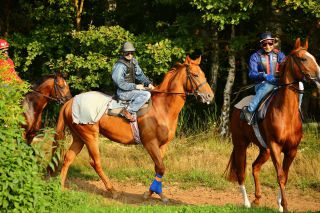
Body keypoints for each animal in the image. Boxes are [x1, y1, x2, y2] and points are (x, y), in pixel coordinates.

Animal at [52, 55, 212, 201]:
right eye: (195, 75)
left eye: (203, 74)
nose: (210, 96)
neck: (161, 108)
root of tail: (71, 102)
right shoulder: (150, 143)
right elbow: (161, 167)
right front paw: (153, 193)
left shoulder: (163, 145)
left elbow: (158, 168)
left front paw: (154, 193)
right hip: (90, 136)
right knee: (95, 162)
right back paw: (112, 190)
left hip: (79, 138)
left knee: (68, 157)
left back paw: (60, 186)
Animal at [226, 37, 318, 211]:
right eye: (303, 58)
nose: (318, 75)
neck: (286, 113)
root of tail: (237, 106)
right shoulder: (275, 147)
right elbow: (280, 176)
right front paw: (285, 206)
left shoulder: (291, 150)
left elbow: (285, 176)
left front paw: (280, 205)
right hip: (241, 144)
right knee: (241, 171)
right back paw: (247, 202)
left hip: (264, 150)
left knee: (255, 167)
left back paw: (257, 199)